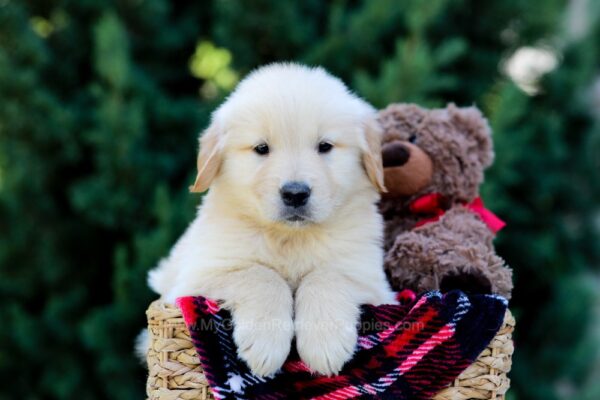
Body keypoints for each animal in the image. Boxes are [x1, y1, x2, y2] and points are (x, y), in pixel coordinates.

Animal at [148, 63, 394, 378]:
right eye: (261, 148)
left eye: (325, 146)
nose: (295, 193)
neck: (289, 236)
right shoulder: (198, 278)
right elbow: (261, 274)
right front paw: (266, 344)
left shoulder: (370, 280)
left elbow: (326, 275)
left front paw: (325, 344)